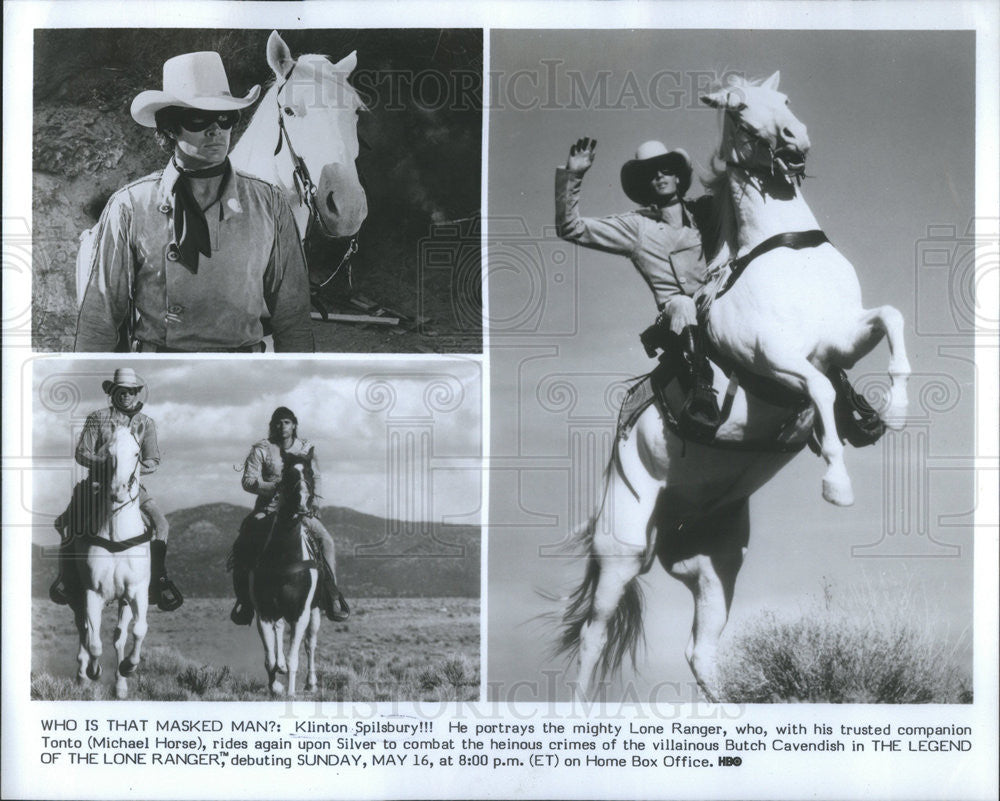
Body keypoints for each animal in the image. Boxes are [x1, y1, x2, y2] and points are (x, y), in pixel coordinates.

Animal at [73, 428, 150, 696]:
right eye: (108, 453)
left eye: (137, 452)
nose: (117, 491)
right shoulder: (91, 592)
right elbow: (94, 643)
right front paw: (94, 671)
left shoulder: (137, 590)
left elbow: (138, 630)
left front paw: (128, 667)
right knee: (84, 632)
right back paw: (82, 677)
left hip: (123, 601)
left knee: (119, 636)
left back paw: (120, 685)